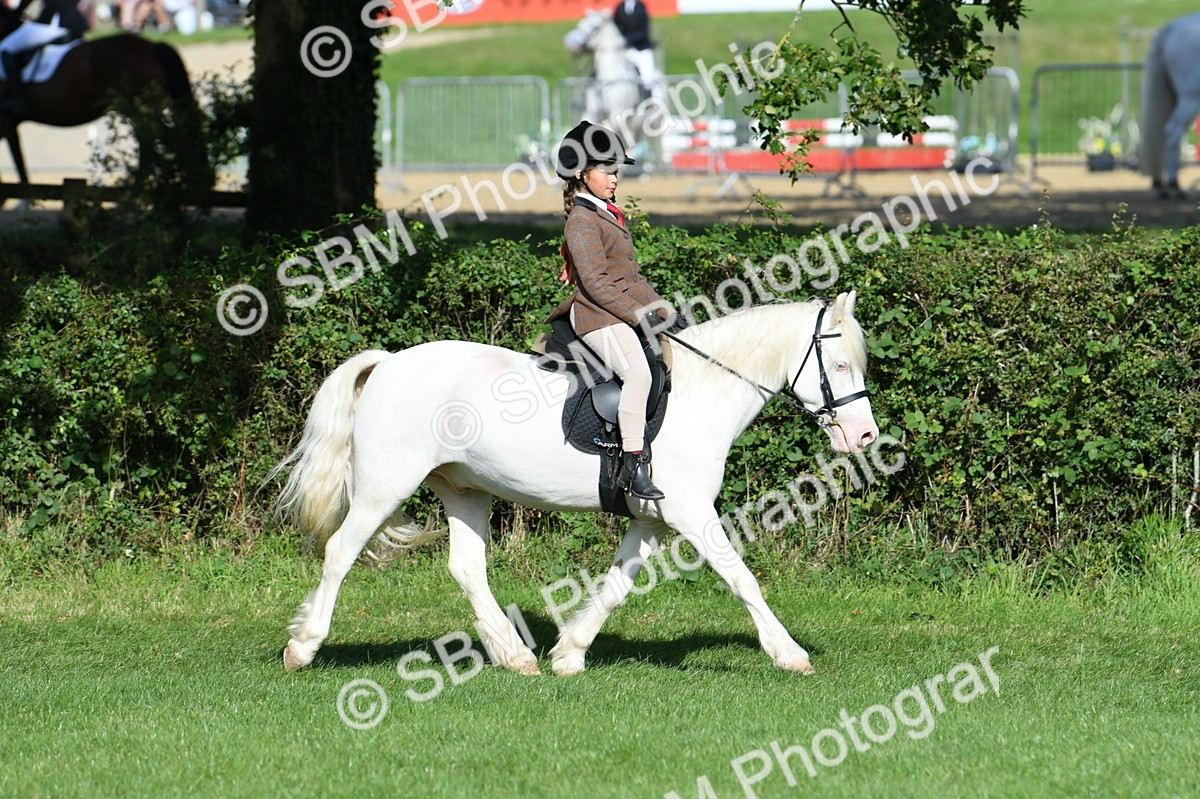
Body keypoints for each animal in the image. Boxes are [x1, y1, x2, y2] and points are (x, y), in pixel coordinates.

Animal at [0, 7, 210, 194]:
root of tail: (151, 46)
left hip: (139, 109)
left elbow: (19, 162)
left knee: (154, 143)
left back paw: (136, 190)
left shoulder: (7, 122)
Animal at [274, 293, 880, 676]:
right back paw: (302, 648)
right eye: (841, 366)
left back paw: (516, 658)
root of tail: (389, 363)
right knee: (340, 551)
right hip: (385, 486)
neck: (702, 392)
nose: (865, 435)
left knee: (467, 569)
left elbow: (617, 584)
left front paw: (569, 654)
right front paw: (789, 654)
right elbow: (742, 578)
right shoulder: (690, 512)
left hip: (465, 489)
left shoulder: (651, 519)